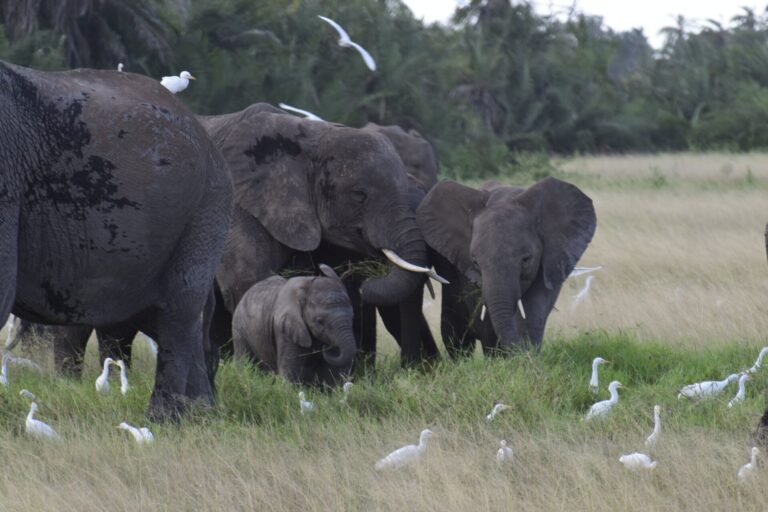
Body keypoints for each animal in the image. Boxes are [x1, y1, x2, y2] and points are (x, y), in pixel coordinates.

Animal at [416, 177, 596, 355]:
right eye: (475, 262)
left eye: (526, 259)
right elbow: (481, 307)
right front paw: (498, 357)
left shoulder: (549, 258)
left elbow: (534, 307)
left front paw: (527, 355)